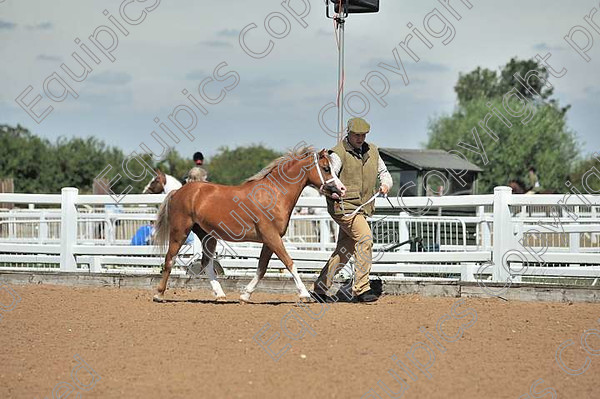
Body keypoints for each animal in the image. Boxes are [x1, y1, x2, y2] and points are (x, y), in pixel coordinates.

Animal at [152, 147, 344, 304]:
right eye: (326, 169)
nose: (341, 189)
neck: (275, 194)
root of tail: (178, 191)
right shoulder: (271, 237)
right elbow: (289, 263)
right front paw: (304, 294)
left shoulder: (270, 240)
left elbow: (261, 269)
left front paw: (245, 295)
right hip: (180, 232)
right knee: (169, 259)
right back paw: (159, 294)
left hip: (207, 235)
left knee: (206, 262)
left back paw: (220, 295)